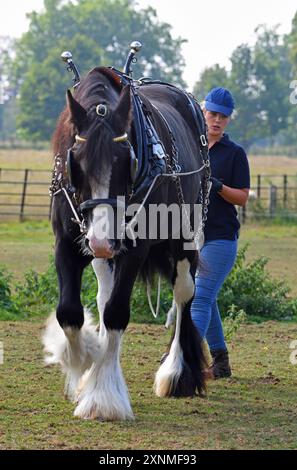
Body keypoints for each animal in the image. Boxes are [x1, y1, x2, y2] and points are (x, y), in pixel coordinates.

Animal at [42, 64, 207, 420]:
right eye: (75, 161)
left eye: (126, 161)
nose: (102, 239)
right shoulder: (67, 243)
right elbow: (69, 312)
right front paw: (85, 362)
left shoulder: (135, 248)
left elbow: (117, 312)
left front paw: (102, 398)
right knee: (104, 297)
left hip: (185, 237)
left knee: (183, 293)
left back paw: (176, 373)